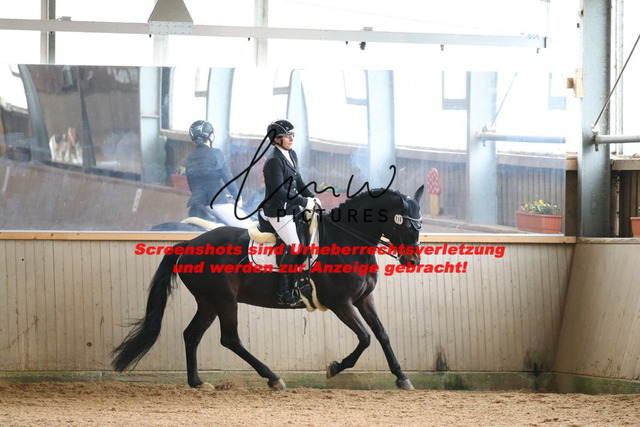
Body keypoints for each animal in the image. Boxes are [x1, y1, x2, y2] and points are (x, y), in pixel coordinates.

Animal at [111, 185, 424, 390]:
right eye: (407, 225)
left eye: (420, 224)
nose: (412, 261)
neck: (346, 240)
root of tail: (189, 244)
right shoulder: (340, 303)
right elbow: (365, 337)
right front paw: (334, 368)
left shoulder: (364, 299)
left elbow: (382, 334)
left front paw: (402, 378)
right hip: (224, 301)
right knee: (230, 339)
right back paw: (273, 378)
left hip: (209, 302)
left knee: (192, 335)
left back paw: (198, 383)